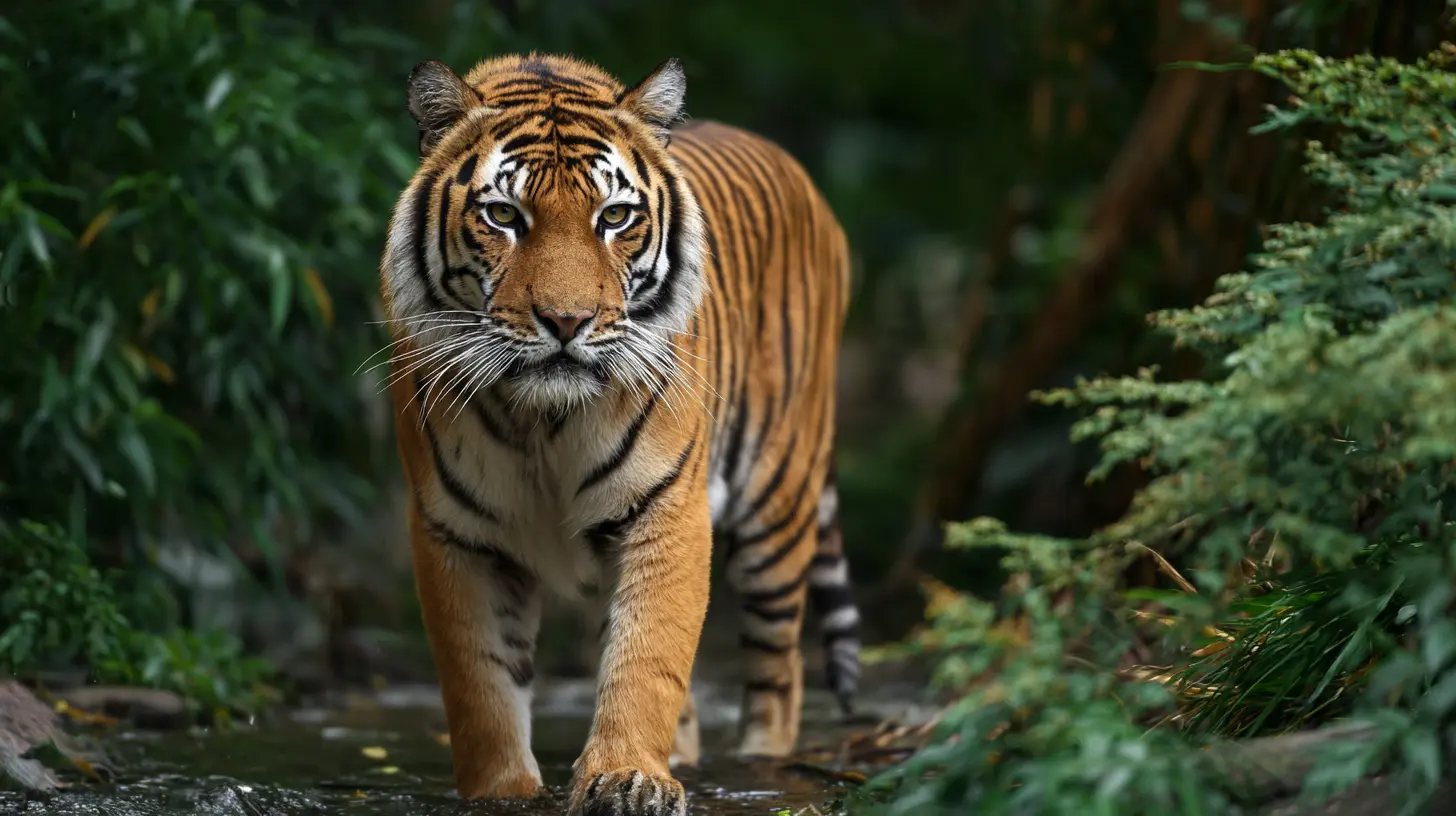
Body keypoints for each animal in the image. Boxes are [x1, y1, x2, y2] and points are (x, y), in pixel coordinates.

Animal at [377, 51, 862, 816]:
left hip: (776, 513)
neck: (542, 420)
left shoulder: (665, 508)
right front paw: (504, 790)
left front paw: (628, 778)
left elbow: (646, 657)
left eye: (615, 217)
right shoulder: (457, 532)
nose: (566, 321)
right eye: (503, 215)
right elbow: (481, 683)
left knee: (778, 676)